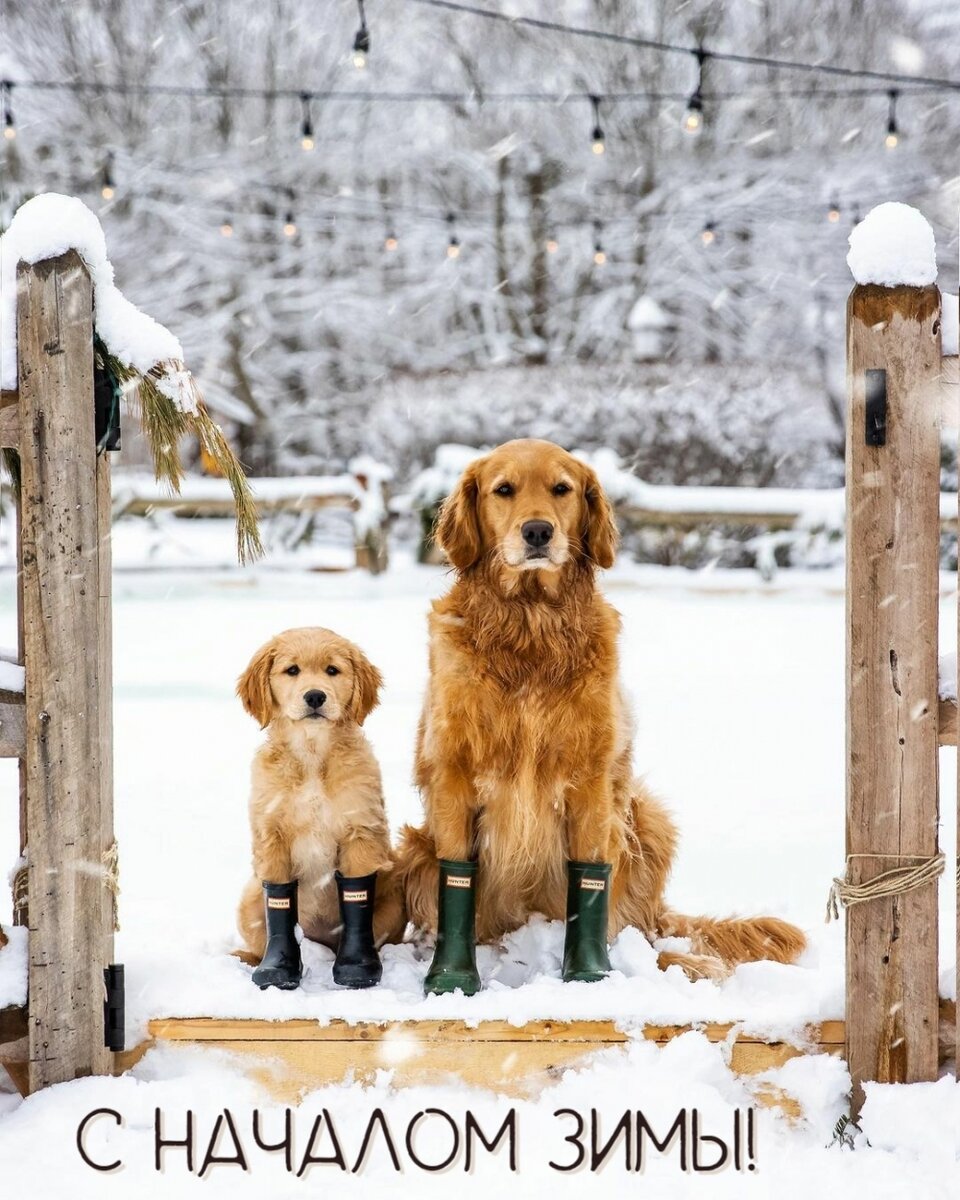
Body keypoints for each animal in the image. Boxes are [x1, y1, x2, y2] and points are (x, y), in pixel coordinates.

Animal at [240, 633, 405, 988]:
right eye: (292, 670)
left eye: (332, 670)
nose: (315, 695)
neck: (312, 754)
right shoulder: (271, 834)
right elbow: (279, 901)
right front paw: (277, 968)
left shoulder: (361, 829)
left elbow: (356, 896)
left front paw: (357, 967)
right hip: (247, 901)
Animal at [393, 441, 806, 993]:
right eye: (504, 490)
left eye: (561, 489)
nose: (538, 532)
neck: (530, 627)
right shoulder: (453, 772)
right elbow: (457, 875)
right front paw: (452, 979)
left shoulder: (591, 776)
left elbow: (589, 880)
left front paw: (588, 975)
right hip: (415, 850)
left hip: (647, 819)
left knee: (642, 933)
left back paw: (685, 964)